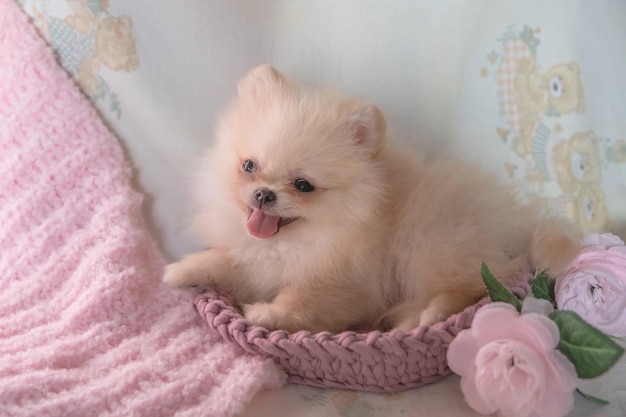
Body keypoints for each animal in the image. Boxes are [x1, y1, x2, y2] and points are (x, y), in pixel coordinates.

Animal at [162, 64, 580, 332]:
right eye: (249, 166)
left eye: (303, 185)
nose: (264, 194)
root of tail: (511, 218)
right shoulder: (252, 258)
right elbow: (225, 259)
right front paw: (181, 270)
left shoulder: (346, 288)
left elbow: (299, 303)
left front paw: (263, 314)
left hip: (429, 248)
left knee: (471, 287)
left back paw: (421, 319)